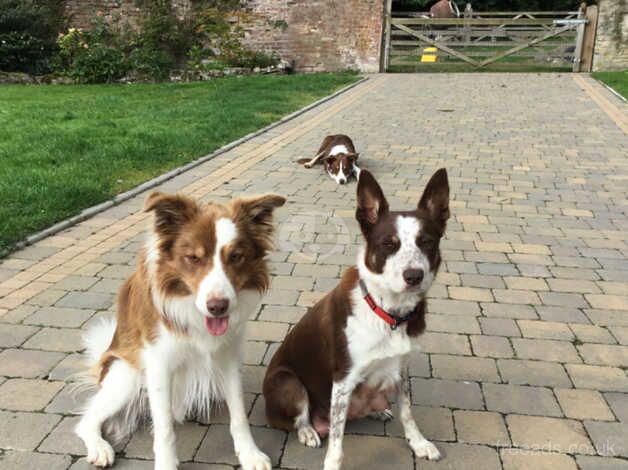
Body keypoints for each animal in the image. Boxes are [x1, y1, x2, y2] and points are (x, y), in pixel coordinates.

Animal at [74, 191, 288, 470]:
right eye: (194, 258)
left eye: (236, 257)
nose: (218, 307)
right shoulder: (158, 364)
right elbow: (164, 428)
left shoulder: (229, 357)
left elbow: (239, 413)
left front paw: (249, 453)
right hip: (127, 377)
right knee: (85, 421)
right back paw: (99, 448)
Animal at [262, 169, 448, 470]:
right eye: (388, 244)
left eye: (427, 242)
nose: (414, 276)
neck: (387, 312)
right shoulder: (342, 380)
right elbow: (337, 440)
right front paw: (331, 463)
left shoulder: (401, 367)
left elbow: (407, 412)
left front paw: (418, 443)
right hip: (286, 381)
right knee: (299, 419)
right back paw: (308, 431)